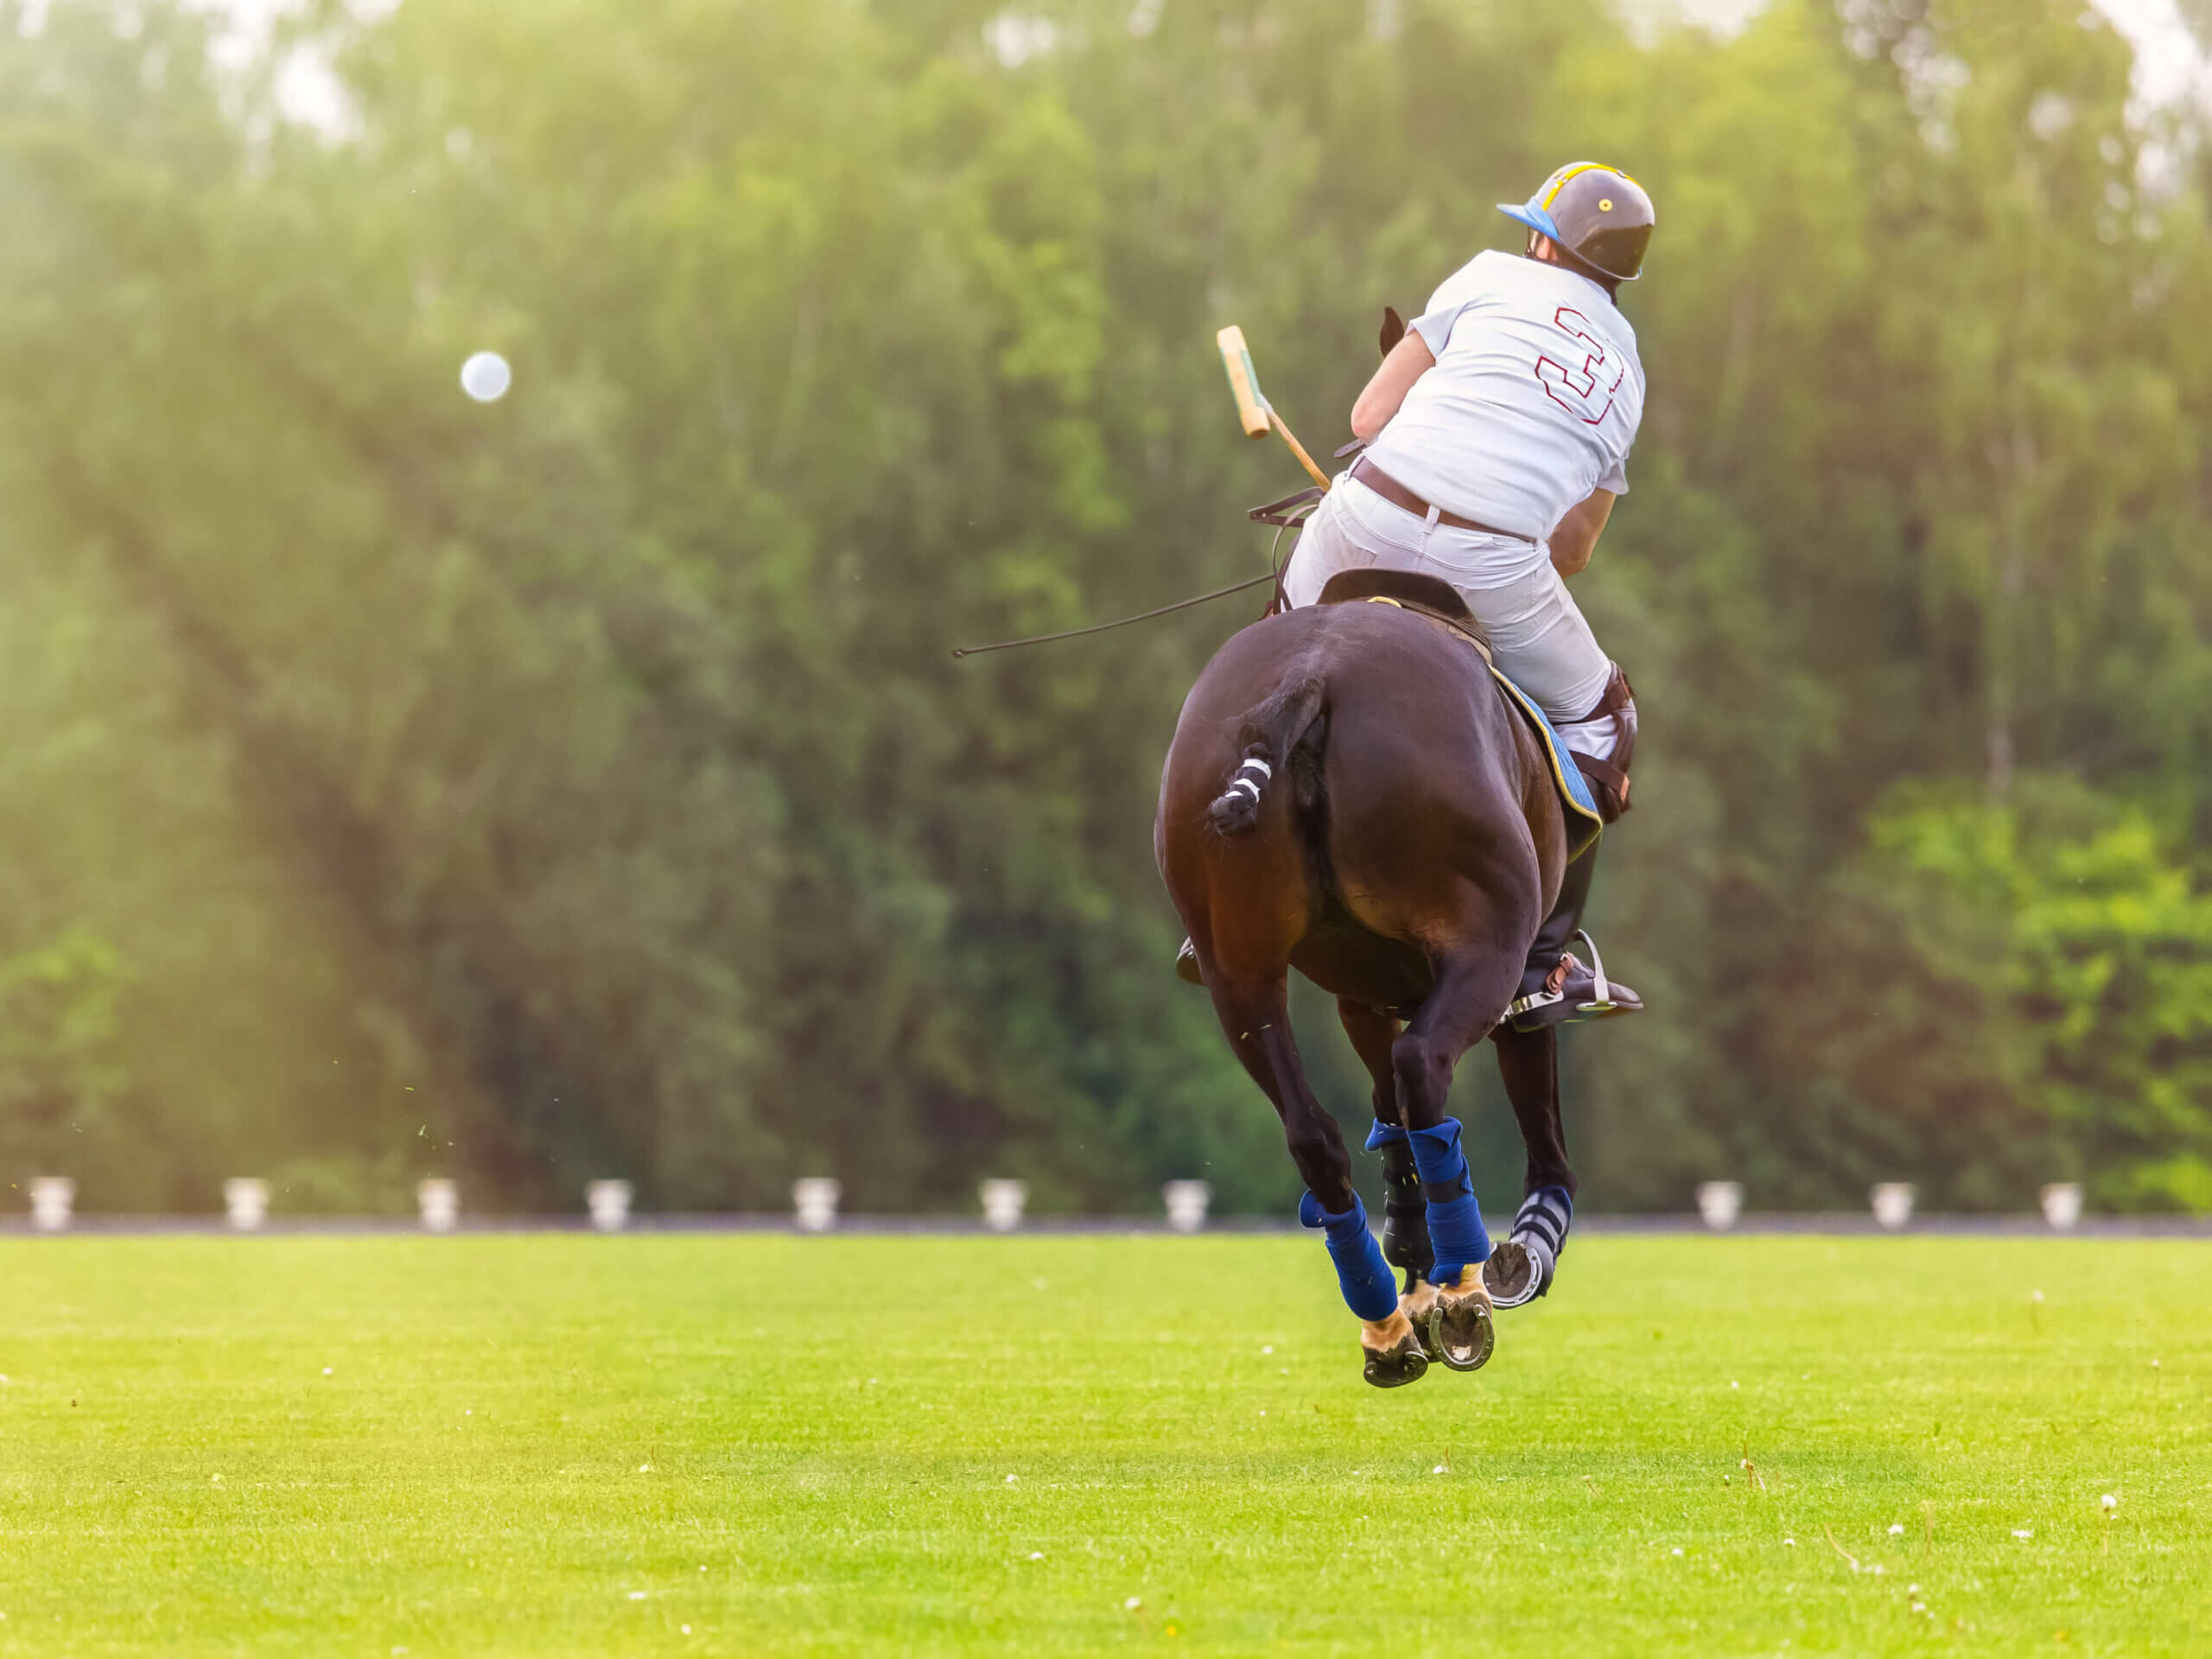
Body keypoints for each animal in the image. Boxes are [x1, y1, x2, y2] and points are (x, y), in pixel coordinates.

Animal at [1150, 570, 1583, 1389]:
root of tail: (1310, 681)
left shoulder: (1362, 988)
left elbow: (1387, 1121)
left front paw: (1412, 1270)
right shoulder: (1510, 961)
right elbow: (1518, 1074)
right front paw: (1511, 1252)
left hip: (1237, 965)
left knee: (1313, 1132)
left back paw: (1386, 1323)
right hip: (1490, 934)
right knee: (1425, 1067)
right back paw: (1463, 1293)